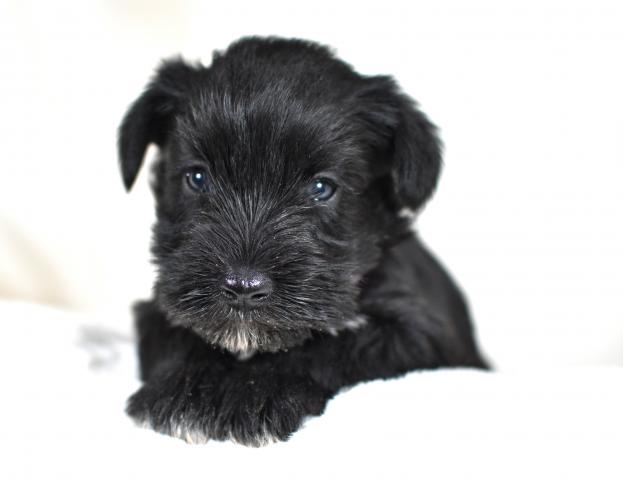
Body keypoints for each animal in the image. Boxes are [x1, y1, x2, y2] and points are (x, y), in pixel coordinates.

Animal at [119, 37, 487, 447]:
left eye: (321, 188)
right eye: (197, 178)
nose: (243, 287)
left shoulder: (419, 332)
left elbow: (331, 345)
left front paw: (256, 391)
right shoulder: (158, 306)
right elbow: (178, 335)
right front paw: (185, 390)